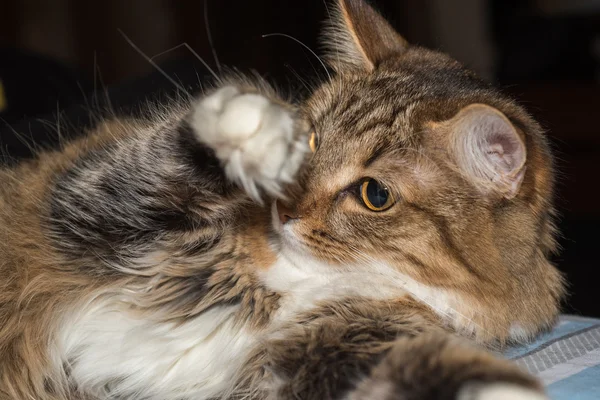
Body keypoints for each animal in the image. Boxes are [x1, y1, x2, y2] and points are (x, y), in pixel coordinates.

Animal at [0, 0, 564, 400]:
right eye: (309, 141)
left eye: (375, 194)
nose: (284, 210)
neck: (288, 282)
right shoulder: (89, 202)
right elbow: (162, 164)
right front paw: (250, 134)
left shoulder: (336, 343)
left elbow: (416, 370)